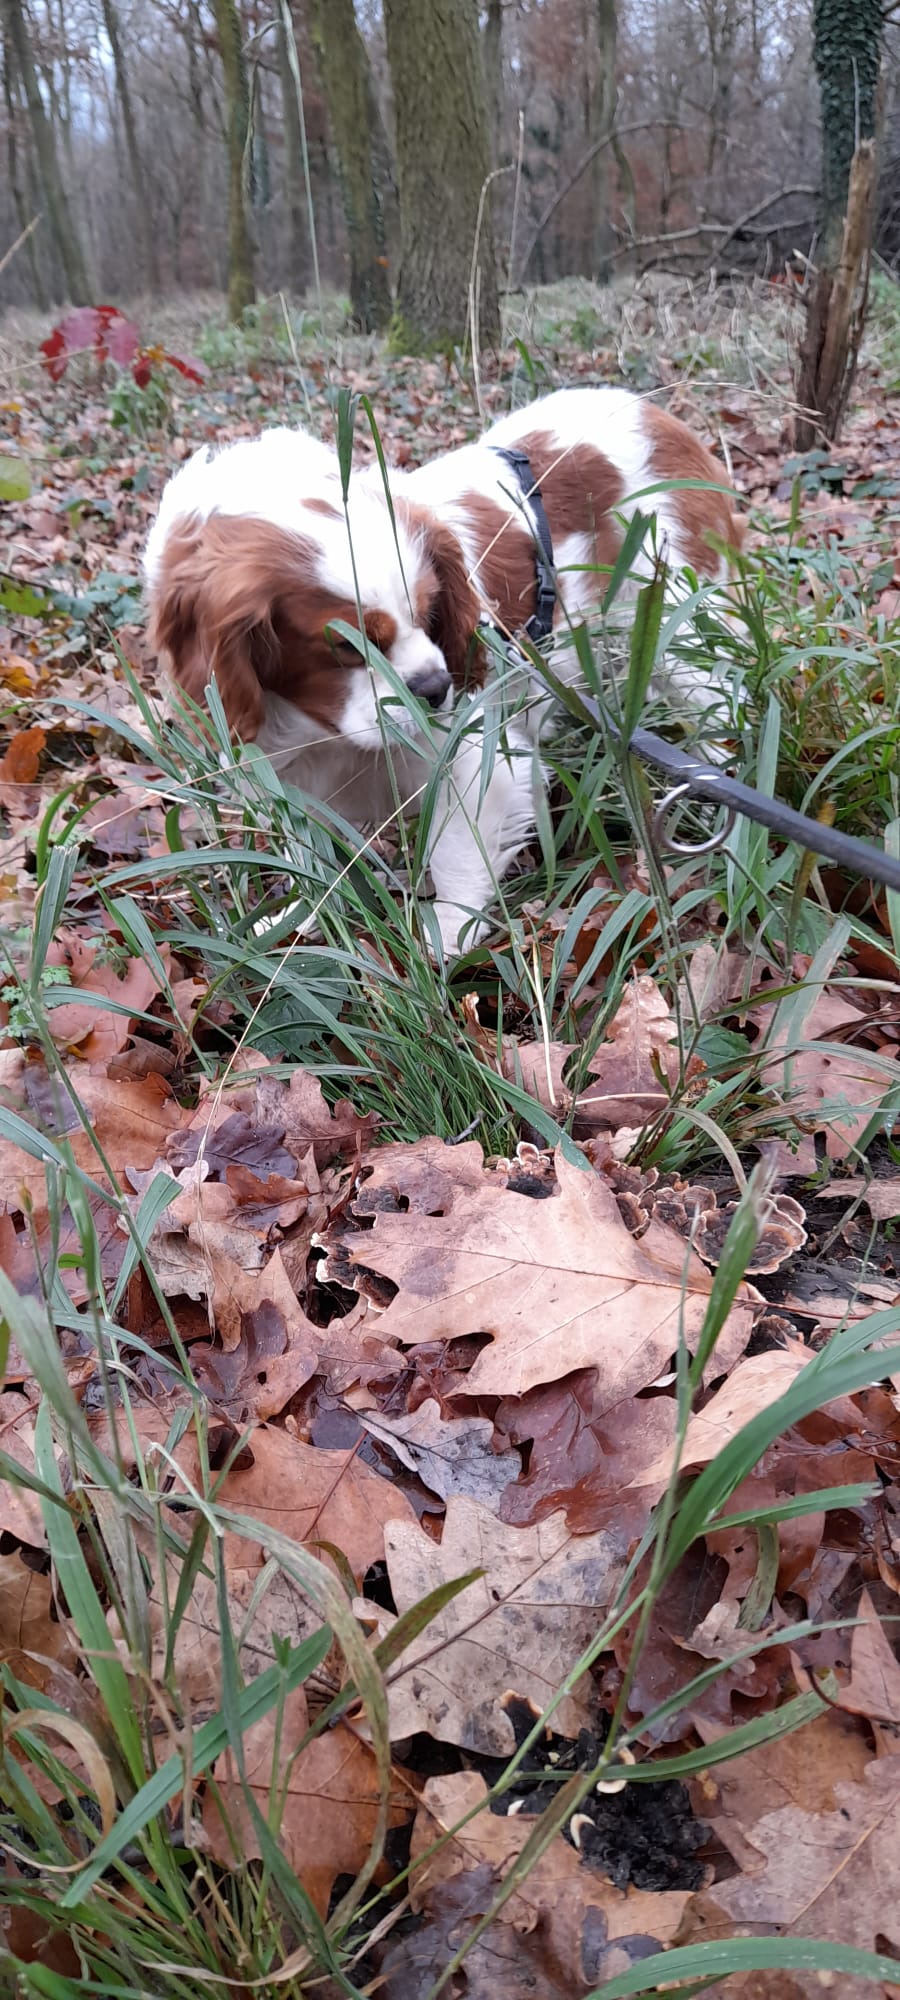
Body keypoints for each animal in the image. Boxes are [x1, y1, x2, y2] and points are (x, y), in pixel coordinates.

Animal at [143, 389, 741, 952]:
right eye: (345, 644)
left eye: (430, 613)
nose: (434, 689)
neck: (324, 732)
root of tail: (656, 414)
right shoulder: (293, 782)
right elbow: (310, 860)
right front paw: (303, 922)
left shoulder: (477, 758)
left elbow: (455, 853)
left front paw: (447, 937)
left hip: (677, 631)